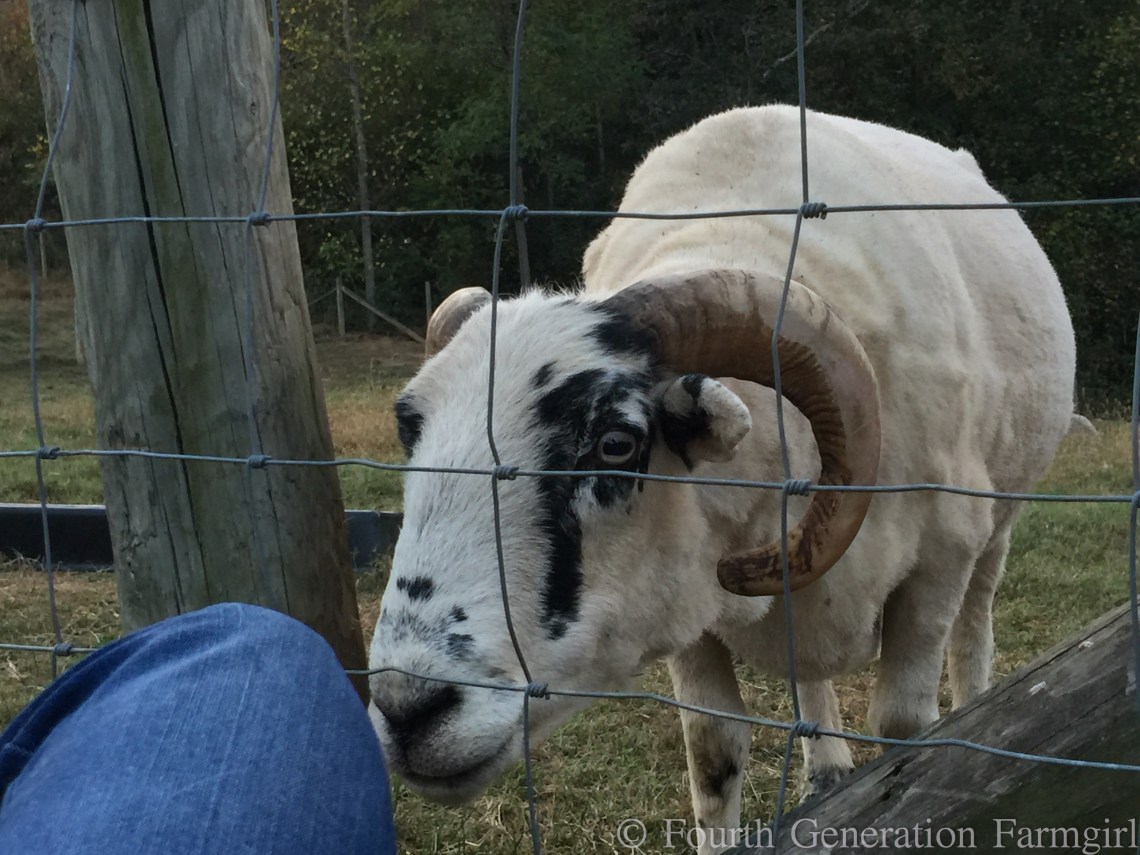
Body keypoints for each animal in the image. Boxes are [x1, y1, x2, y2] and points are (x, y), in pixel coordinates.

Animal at [367, 105, 1076, 850]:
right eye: (411, 430)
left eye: (616, 444)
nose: (407, 708)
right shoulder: (683, 601)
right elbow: (714, 752)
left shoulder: (938, 561)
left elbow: (906, 730)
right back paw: (826, 768)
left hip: (997, 521)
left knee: (976, 622)